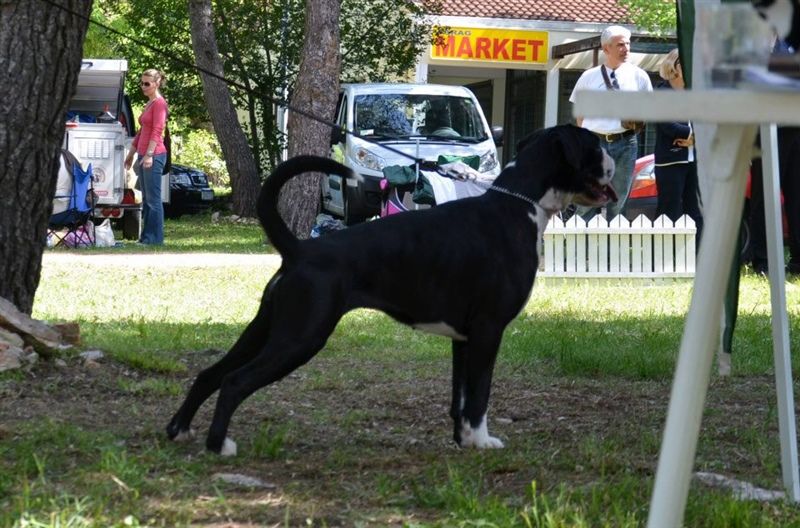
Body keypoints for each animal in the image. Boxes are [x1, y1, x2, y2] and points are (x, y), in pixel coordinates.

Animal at [166, 125, 616, 458]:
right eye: (595, 145)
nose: (613, 156)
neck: (519, 205)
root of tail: (300, 248)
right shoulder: (489, 331)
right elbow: (480, 395)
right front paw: (481, 441)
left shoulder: (464, 339)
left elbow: (460, 397)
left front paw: (461, 441)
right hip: (300, 338)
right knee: (235, 381)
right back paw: (218, 444)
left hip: (265, 330)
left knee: (211, 373)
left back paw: (179, 429)